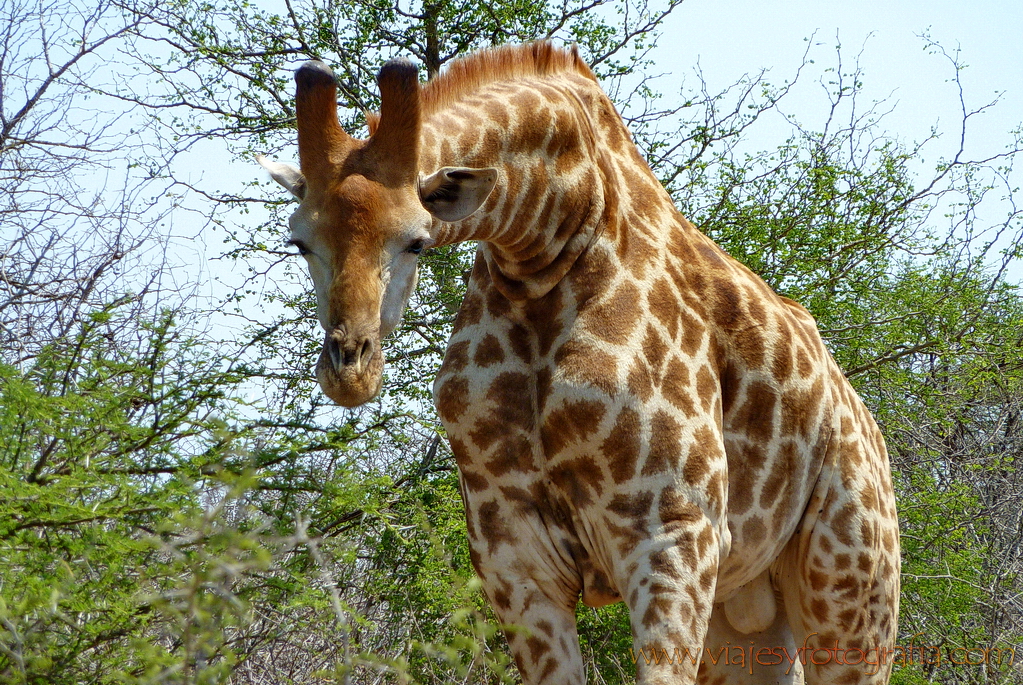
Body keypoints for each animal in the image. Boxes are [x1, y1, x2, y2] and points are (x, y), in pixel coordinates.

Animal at [257, 42, 900, 685]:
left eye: (415, 240)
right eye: (299, 241)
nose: (350, 368)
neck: (552, 243)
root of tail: (870, 432)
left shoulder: (672, 535)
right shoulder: (513, 557)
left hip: (850, 593)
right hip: (746, 612)